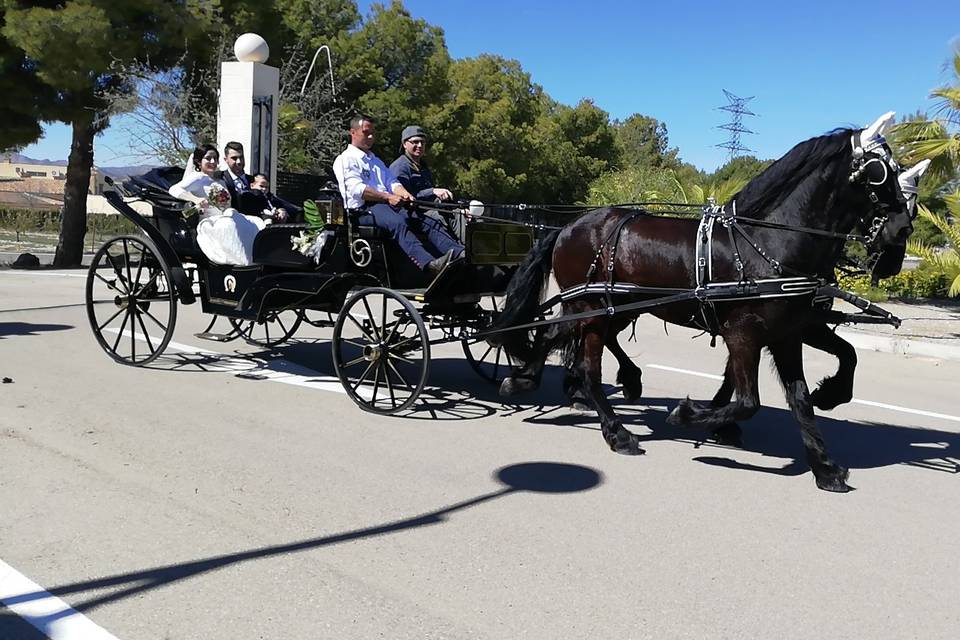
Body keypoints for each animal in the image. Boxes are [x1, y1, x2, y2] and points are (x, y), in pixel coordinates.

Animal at [492, 114, 912, 490]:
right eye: (881, 172)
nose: (902, 230)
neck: (767, 242)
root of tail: (567, 226)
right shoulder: (744, 335)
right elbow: (748, 400)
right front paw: (689, 415)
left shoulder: (788, 334)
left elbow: (803, 397)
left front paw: (824, 465)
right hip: (594, 310)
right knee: (585, 365)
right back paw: (616, 430)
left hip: (605, 308)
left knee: (554, 337)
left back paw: (529, 380)